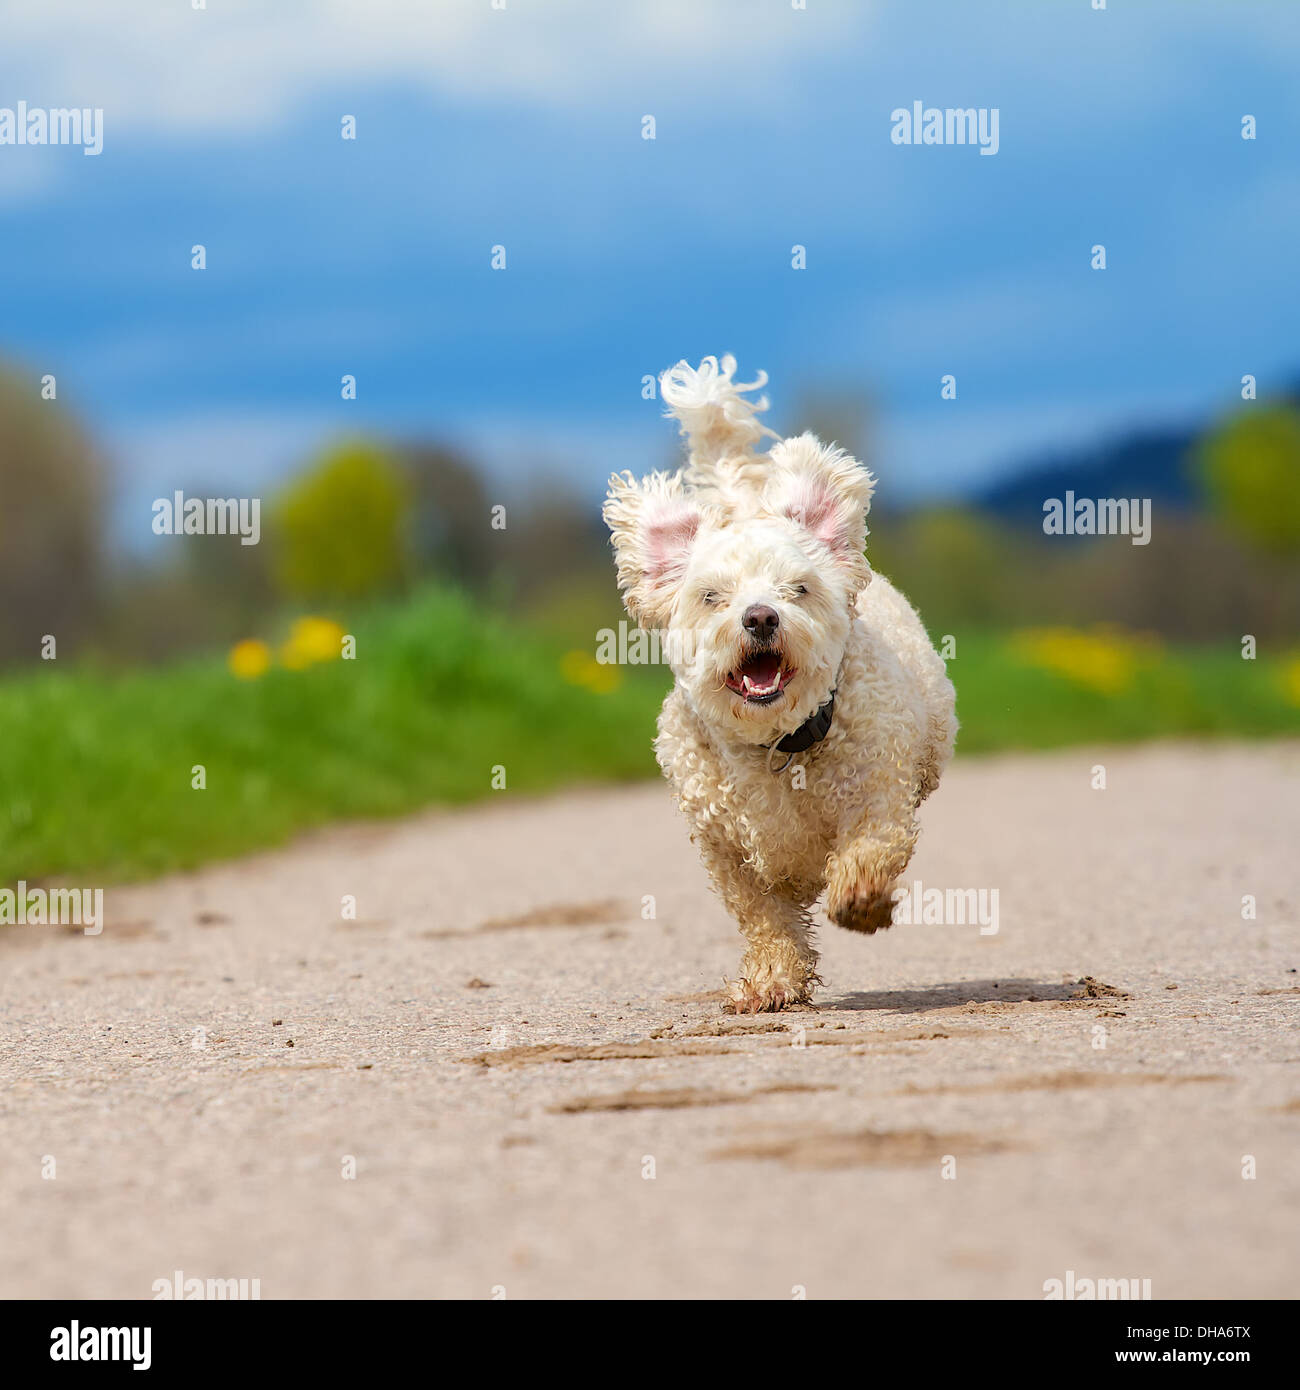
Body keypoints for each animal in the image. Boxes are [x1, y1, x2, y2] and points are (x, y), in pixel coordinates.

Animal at [606, 355, 956, 1011]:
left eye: (799, 589)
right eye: (712, 597)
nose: (761, 617)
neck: (779, 743)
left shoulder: (878, 789)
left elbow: (873, 843)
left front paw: (860, 898)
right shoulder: (725, 846)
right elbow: (761, 913)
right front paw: (772, 977)